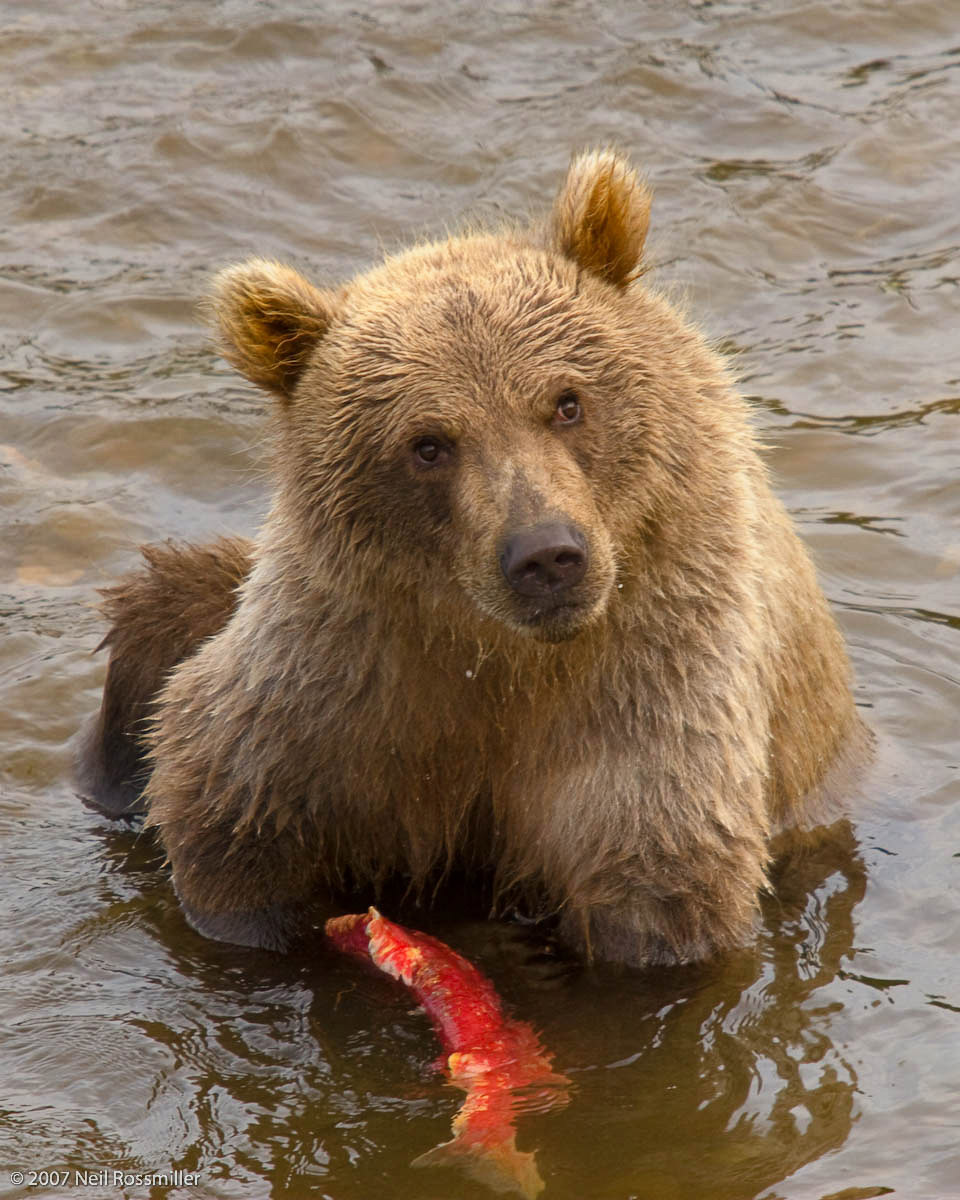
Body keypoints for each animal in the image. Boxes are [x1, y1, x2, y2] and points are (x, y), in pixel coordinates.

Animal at [76, 149, 870, 966]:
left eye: (567, 401)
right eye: (428, 443)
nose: (547, 555)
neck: (500, 658)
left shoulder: (654, 685)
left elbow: (659, 879)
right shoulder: (337, 682)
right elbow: (228, 818)